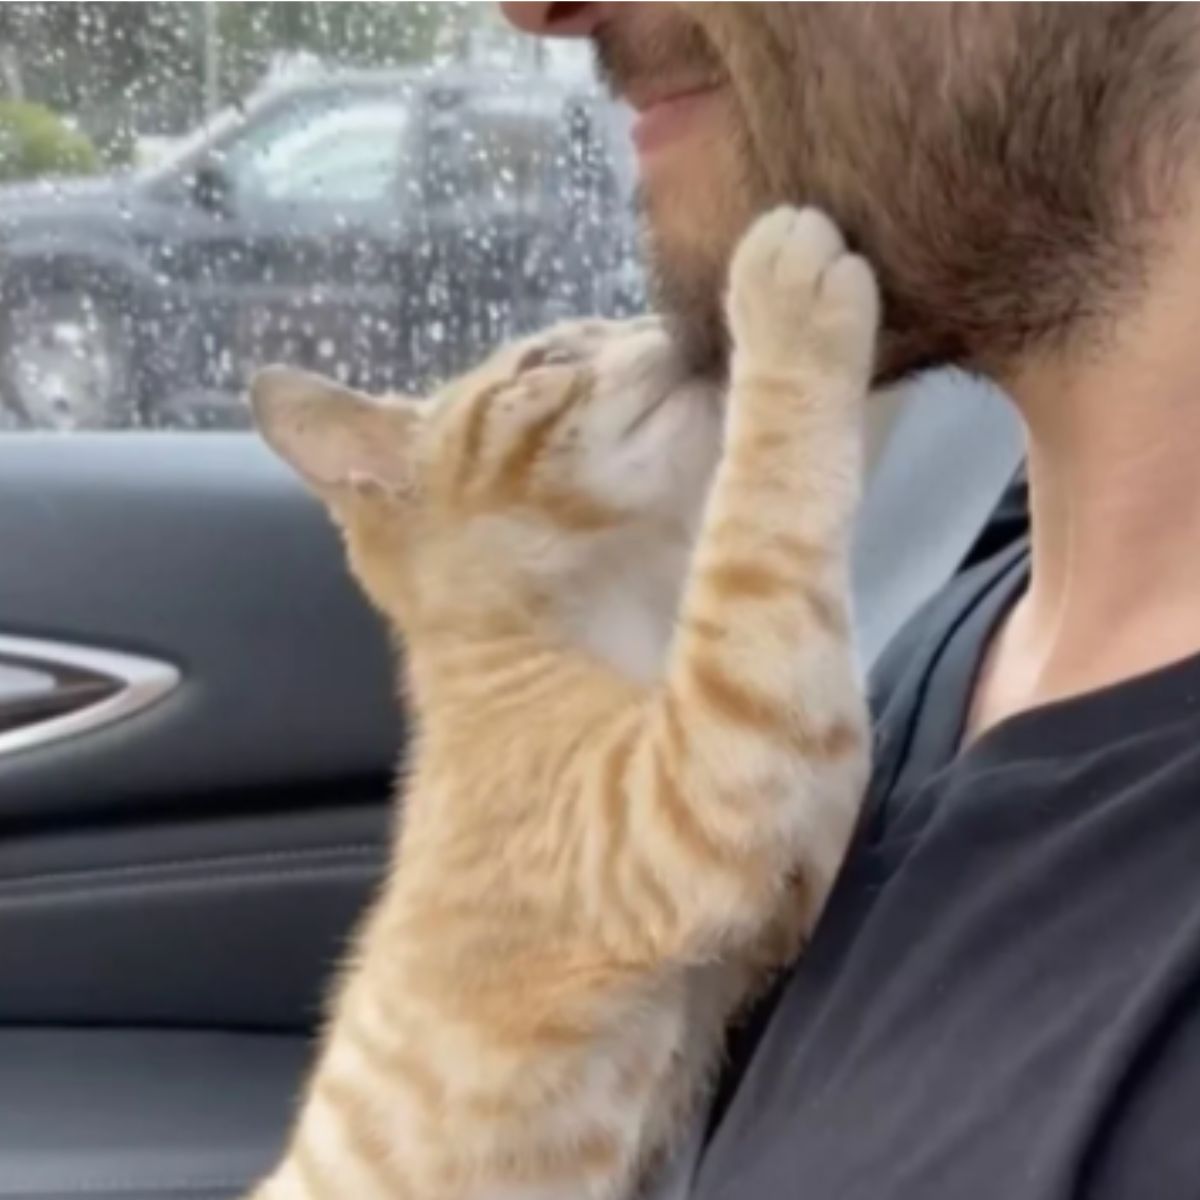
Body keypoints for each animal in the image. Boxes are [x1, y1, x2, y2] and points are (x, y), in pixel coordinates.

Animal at [248, 208, 878, 1200]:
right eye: (545, 360)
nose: (664, 323)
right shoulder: (689, 792)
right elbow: (760, 542)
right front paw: (787, 305)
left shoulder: (781, 882)